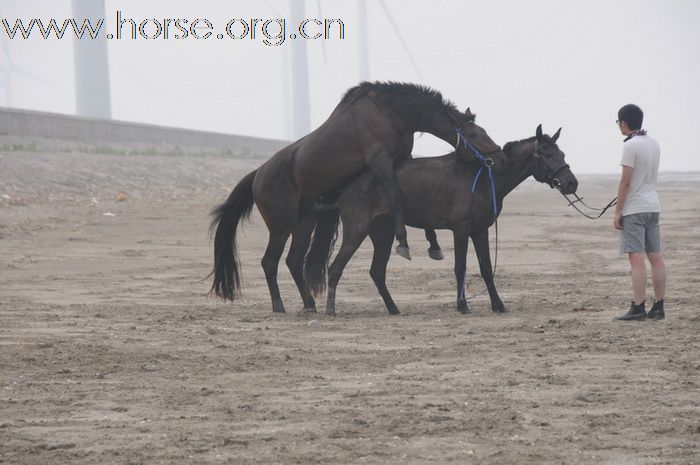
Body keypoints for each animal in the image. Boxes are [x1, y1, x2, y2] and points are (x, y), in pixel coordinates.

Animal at [211, 80, 506, 312]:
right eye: (473, 134)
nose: (499, 157)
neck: (389, 113)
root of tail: (258, 174)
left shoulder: (402, 159)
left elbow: (407, 193)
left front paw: (433, 244)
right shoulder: (381, 161)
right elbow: (396, 195)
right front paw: (403, 242)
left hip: (305, 222)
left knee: (293, 261)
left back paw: (310, 304)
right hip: (281, 227)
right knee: (270, 262)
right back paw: (279, 306)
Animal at [312, 125, 580, 316]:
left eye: (562, 153)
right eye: (547, 154)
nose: (571, 183)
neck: (484, 178)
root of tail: (346, 189)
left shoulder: (480, 230)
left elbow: (486, 269)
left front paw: (498, 305)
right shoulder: (460, 229)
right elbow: (460, 267)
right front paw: (462, 305)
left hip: (383, 235)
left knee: (377, 272)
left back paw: (393, 309)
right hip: (356, 231)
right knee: (335, 268)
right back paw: (331, 310)